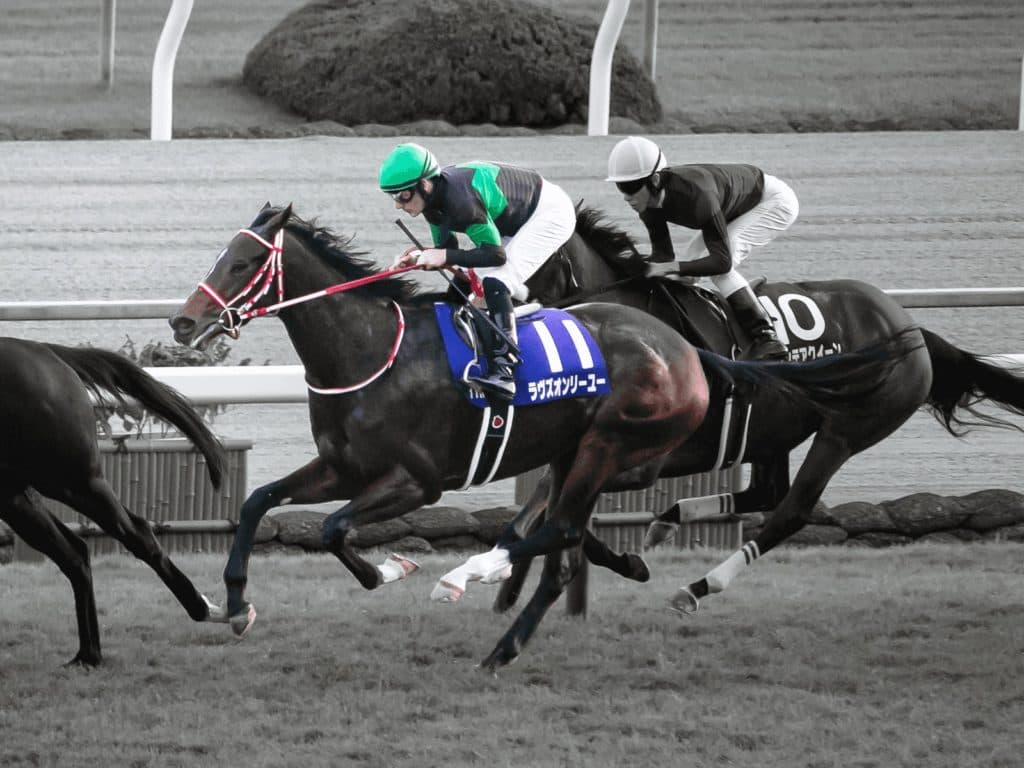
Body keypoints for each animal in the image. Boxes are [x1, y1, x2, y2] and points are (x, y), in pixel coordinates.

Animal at [0, 339, 228, 665]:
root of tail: (44, 350)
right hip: (15, 495)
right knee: (74, 553)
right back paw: (88, 655)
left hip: (72, 480)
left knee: (135, 533)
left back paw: (209, 610)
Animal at [169, 203, 921, 669]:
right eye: (224, 255)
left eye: (243, 263)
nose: (183, 322)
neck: (372, 350)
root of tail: (686, 349)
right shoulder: (342, 468)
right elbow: (257, 503)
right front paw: (236, 604)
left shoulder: (416, 481)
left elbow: (332, 530)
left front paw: (393, 569)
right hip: (589, 451)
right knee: (567, 540)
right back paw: (516, 629)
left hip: (626, 444)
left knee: (566, 530)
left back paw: (478, 580)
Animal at [493, 204, 1024, 617]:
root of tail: (910, 327)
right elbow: (539, 506)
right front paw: (508, 582)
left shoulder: (645, 462)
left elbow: (558, 513)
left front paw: (621, 563)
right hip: (775, 429)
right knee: (766, 491)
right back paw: (669, 521)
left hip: (848, 430)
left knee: (791, 510)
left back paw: (698, 586)